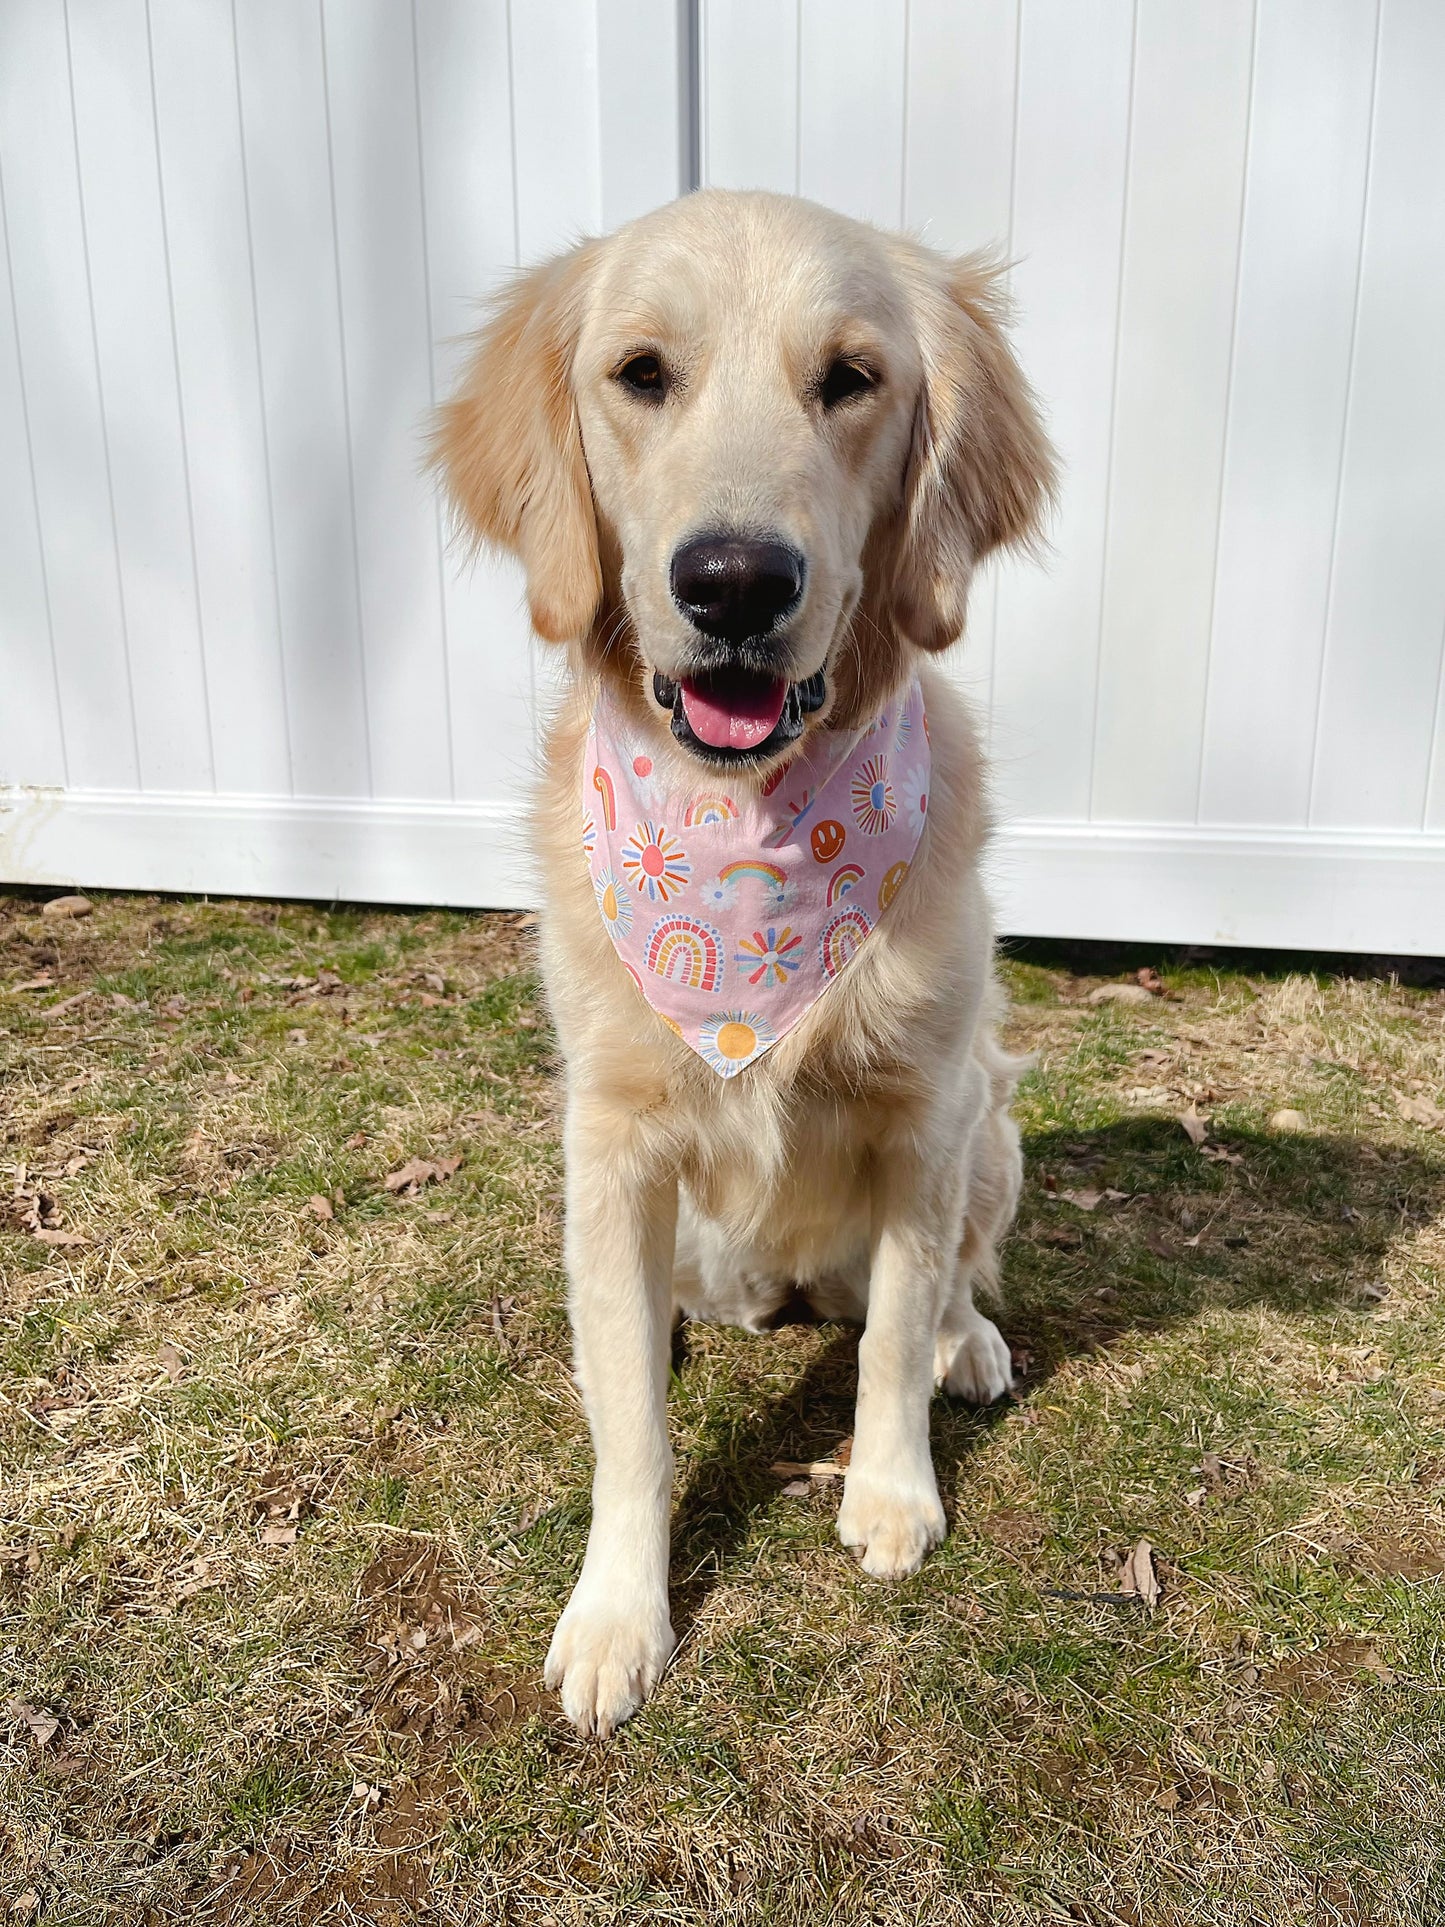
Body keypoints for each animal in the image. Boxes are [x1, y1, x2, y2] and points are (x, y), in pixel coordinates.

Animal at [433, 187, 1055, 1742]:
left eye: (851, 378)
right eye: (640, 373)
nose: (732, 582)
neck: (755, 833)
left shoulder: (923, 1114)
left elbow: (891, 1335)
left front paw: (889, 1492)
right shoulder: (609, 1144)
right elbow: (633, 1432)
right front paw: (616, 1614)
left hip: (993, 1120)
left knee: (951, 1278)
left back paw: (969, 1341)